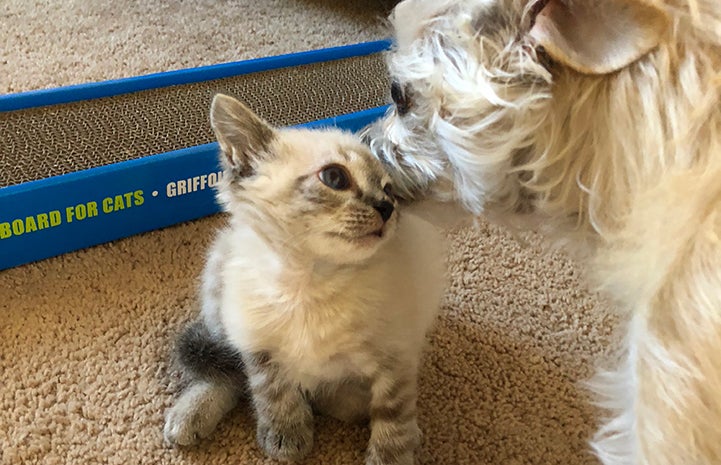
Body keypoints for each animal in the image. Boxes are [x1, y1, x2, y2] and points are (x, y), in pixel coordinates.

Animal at [164, 94, 448, 464]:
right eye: (335, 177)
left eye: (390, 191)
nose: (386, 208)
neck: (309, 284)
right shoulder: (258, 343)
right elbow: (273, 391)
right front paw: (286, 437)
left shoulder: (396, 357)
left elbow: (391, 421)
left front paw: (390, 455)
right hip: (218, 283)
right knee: (225, 370)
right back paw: (190, 415)